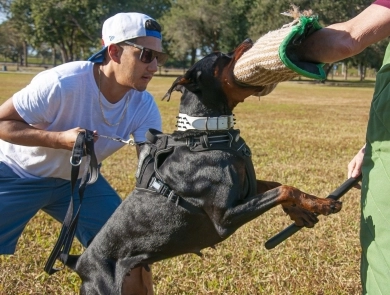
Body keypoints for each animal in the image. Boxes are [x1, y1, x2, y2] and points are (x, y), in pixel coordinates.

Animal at [67, 38, 342, 294]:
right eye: (220, 57)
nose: (249, 40)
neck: (209, 134)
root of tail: (80, 262)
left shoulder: (247, 187)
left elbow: (280, 185)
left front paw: (303, 210)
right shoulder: (225, 216)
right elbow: (284, 189)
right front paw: (323, 204)